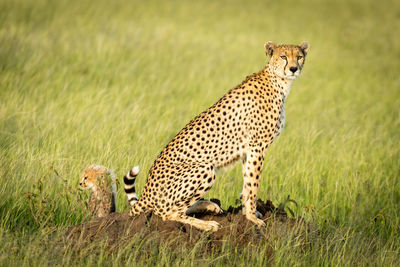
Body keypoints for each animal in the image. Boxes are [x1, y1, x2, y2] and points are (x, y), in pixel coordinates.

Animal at [125, 42, 310, 232]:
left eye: (299, 56)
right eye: (283, 57)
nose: (294, 68)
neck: (278, 81)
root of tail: (146, 191)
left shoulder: (248, 150)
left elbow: (247, 184)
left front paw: (247, 213)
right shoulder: (257, 146)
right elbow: (253, 185)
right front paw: (252, 218)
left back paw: (208, 205)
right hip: (204, 169)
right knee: (167, 212)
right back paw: (207, 224)